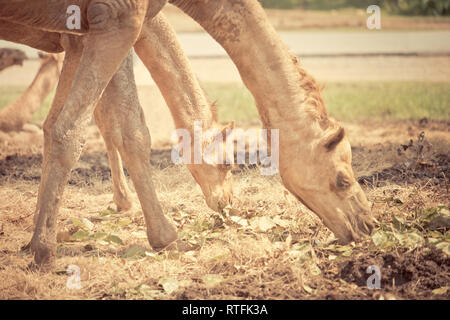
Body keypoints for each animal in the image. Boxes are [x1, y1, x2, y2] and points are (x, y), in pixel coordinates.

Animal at [0, 0, 372, 268]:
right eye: (342, 179)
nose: (366, 225)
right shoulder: (118, 19)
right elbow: (119, 129)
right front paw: (163, 235)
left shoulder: (79, 36)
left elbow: (58, 125)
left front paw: (33, 241)